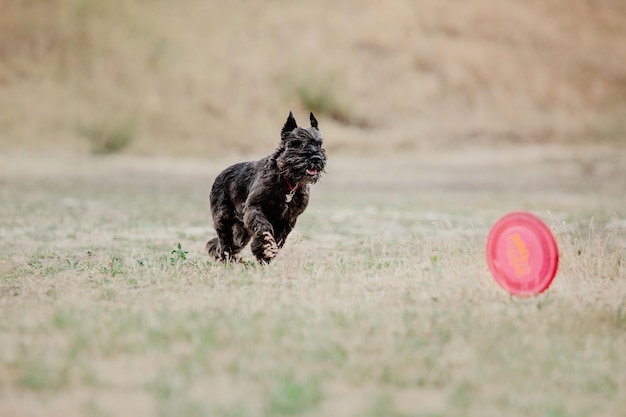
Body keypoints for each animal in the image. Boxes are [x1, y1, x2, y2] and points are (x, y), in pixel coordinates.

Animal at [207, 112, 330, 262]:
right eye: (297, 143)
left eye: (319, 144)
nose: (316, 158)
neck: (287, 180)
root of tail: (219, 176)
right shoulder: (254, 208)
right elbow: (264, 228)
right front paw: (265, 248)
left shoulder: (288, 219)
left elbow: (278, 239)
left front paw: (267, 254)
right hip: (223, 221)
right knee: (225, 244)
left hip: (242, 230)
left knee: (228, 244)